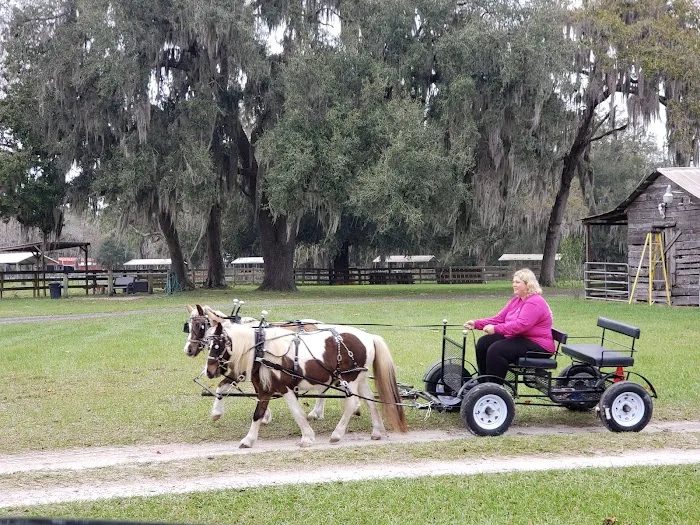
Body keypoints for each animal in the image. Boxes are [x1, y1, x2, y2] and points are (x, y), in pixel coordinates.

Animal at [205, 314, 408, 448]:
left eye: (217, 345)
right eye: (208, 344)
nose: (209, 371)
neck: (262, 349)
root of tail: (369, 337)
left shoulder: (285, 387)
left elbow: (296, 412)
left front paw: (307, 437)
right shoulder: (264, 388)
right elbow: (258, 414)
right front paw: (248, 439)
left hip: (349, 379)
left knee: (352, 403)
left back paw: (337, 434)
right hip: (359, 378)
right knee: (369, 401)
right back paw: (377, 431)